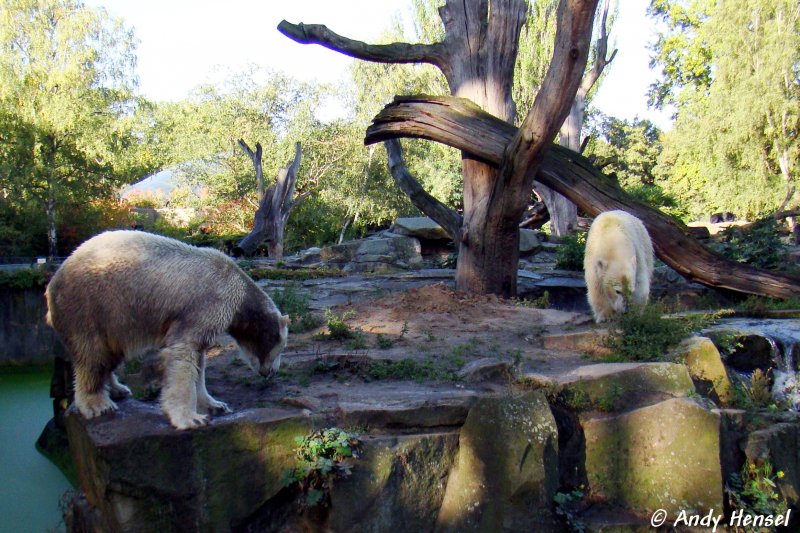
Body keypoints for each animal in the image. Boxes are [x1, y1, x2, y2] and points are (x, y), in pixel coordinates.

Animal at [44, 231, 290, 430]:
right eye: (281, 347)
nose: (272, 372)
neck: (240, 293)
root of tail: (51, 284)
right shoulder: (205, 306)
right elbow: (183, 355)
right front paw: (191, 418)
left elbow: (199, 362)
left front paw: (216, 405)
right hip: (91, 306)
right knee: (92, 354)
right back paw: (98, 404)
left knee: (111, 354)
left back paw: (118, 389)